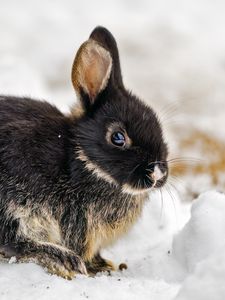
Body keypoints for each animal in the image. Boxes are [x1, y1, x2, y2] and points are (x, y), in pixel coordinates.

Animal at [0, 25, 169, 278]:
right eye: (118, 137)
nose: (158, 173)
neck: (81, 159)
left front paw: (103, 264)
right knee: (14, 243)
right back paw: (62, 259)